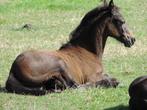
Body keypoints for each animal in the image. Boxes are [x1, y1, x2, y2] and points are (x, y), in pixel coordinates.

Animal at [6, 0, 136, 95]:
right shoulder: (92, 77)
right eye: (121, 21)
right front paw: (112, 82)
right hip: (60, 63)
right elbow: (105, 79)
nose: (132, 39)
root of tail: (13, 69)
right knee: (75, 86)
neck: (88, 51)